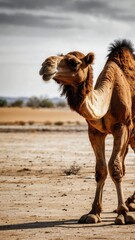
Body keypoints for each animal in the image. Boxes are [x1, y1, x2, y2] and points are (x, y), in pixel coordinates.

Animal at [39, 39, 134, 225]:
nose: (46, 65)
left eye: (74, 62)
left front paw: (122, 214)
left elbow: (115, 167)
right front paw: (93, 213)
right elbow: (101, 169)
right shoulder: (95, 131)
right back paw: (131, 203)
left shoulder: (122, 126)